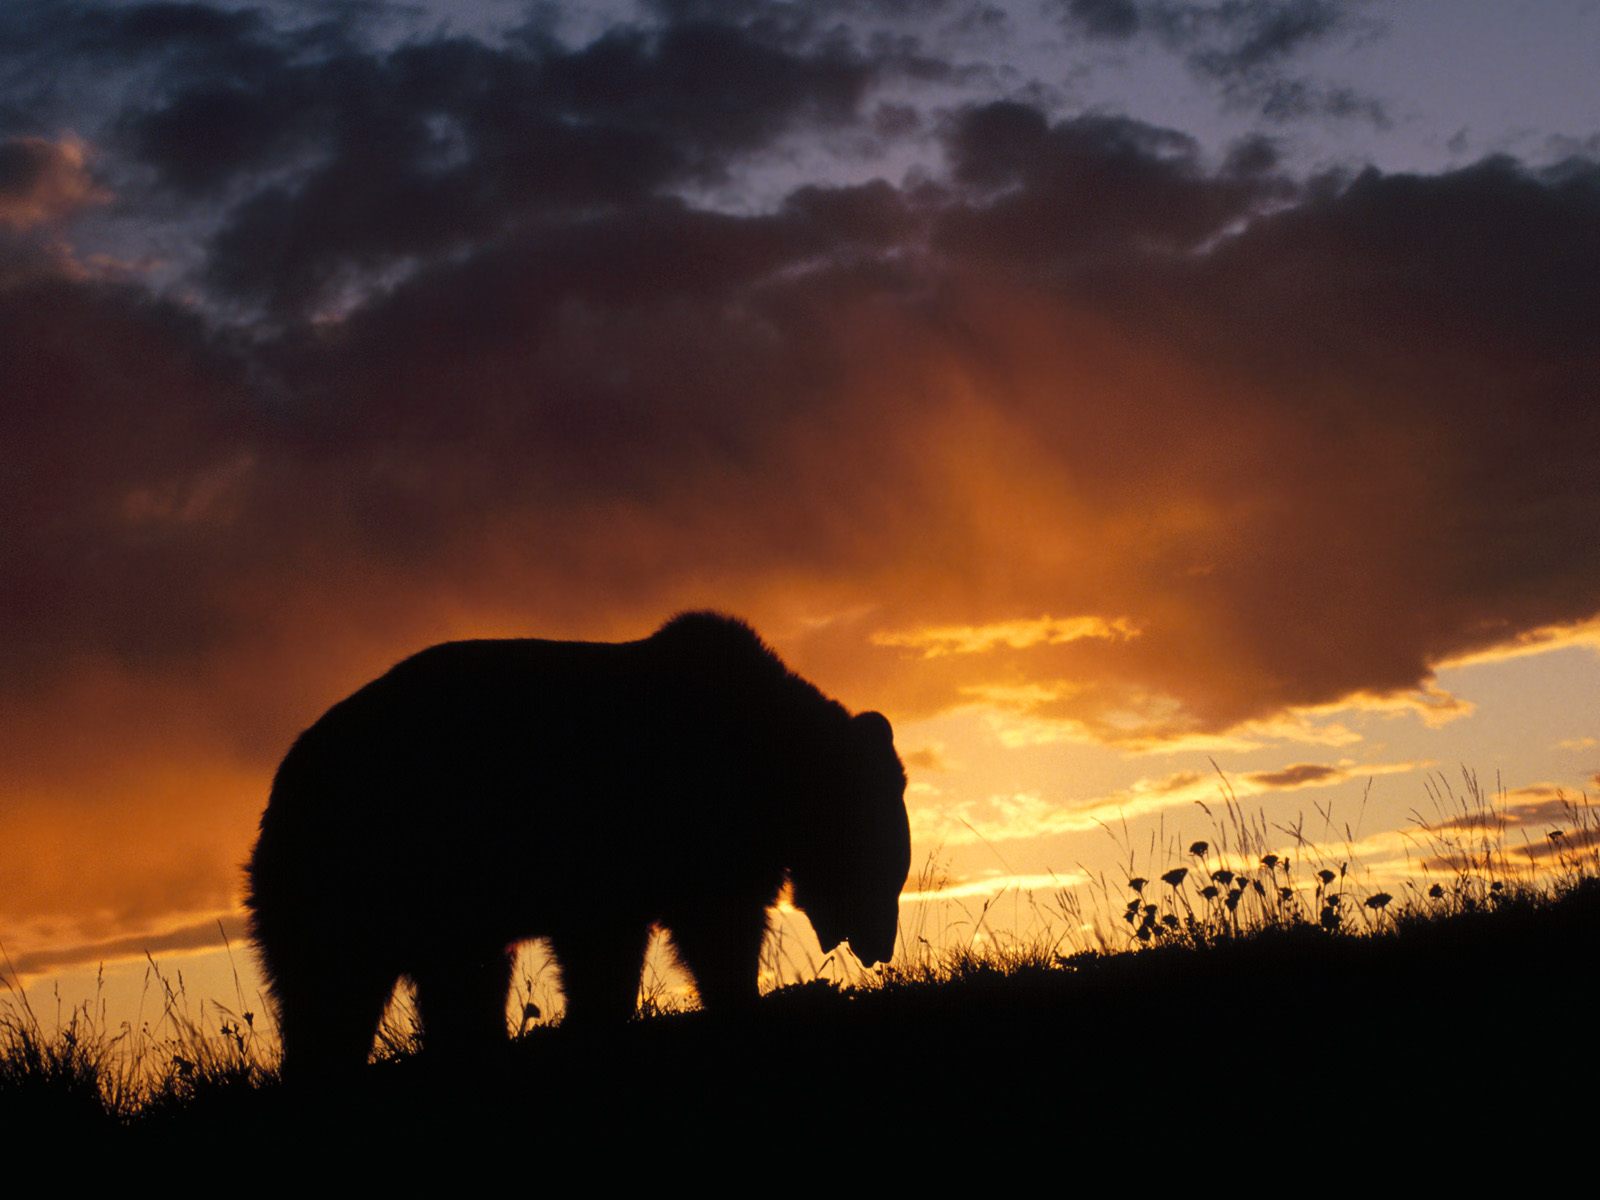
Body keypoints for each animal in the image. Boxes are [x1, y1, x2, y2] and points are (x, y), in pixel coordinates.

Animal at [244, 611, 911, 1077]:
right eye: (885, 867)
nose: (881, 946)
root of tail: (284, 779)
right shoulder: (645, 832)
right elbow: (691, 932)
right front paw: (736, 1002)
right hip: (363, 865)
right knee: (331, 988)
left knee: (452, 984)